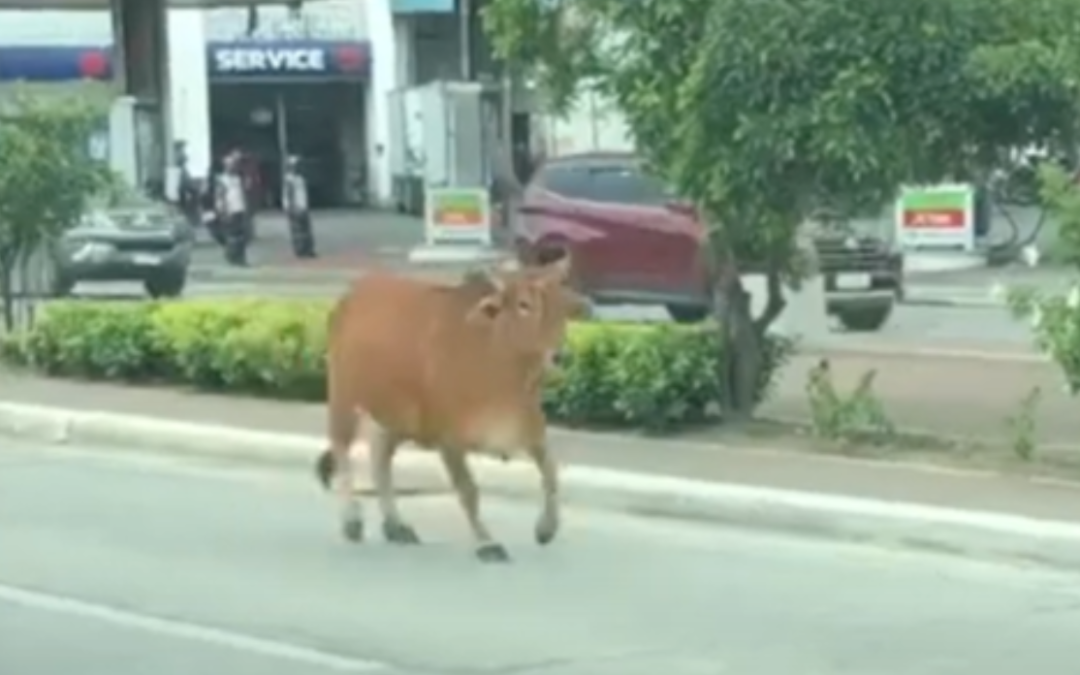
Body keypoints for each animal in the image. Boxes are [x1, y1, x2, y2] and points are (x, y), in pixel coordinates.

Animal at [315, 254, 587, 561]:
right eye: (524, 305)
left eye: (562, 305)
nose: (561, 356)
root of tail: (353, 294)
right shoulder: (449, 440)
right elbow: (469, 490)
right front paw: (487, 542)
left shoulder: (532, 431)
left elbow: (551, 474)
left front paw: (546, 529)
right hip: (344, 397)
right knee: (342, 449)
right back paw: (352, 520)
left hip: (395, 417)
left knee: (380, 459)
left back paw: (396, 525)